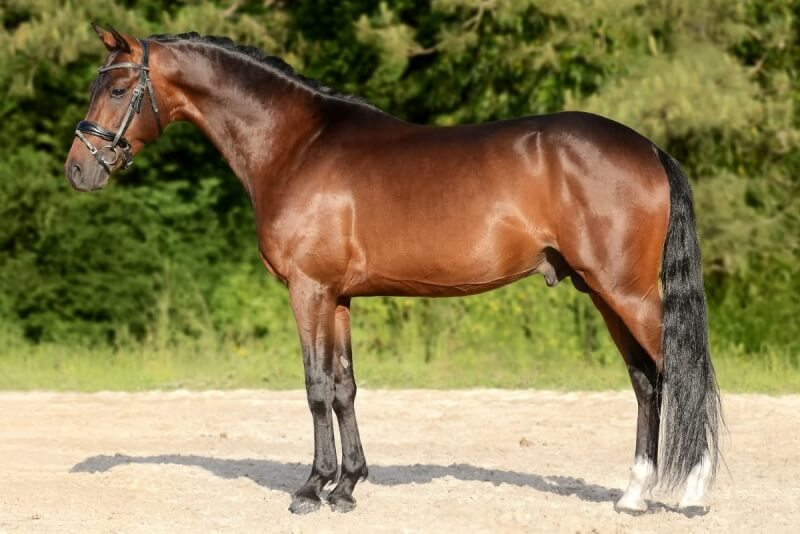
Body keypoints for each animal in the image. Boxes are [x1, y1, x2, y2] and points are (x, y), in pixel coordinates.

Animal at [65, 25, 721, 516]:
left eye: (118, 89)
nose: (78, 169)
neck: (297, 145)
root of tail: (649, 149)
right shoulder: (338, 297)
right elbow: (345, 387)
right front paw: (348, 485)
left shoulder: (308, 291)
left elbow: (315, 387)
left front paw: (311, 489)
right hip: (606, 294)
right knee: (647, 381)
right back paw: (633, 495)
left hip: (628, 293)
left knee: (684, 373)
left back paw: (693, 492)